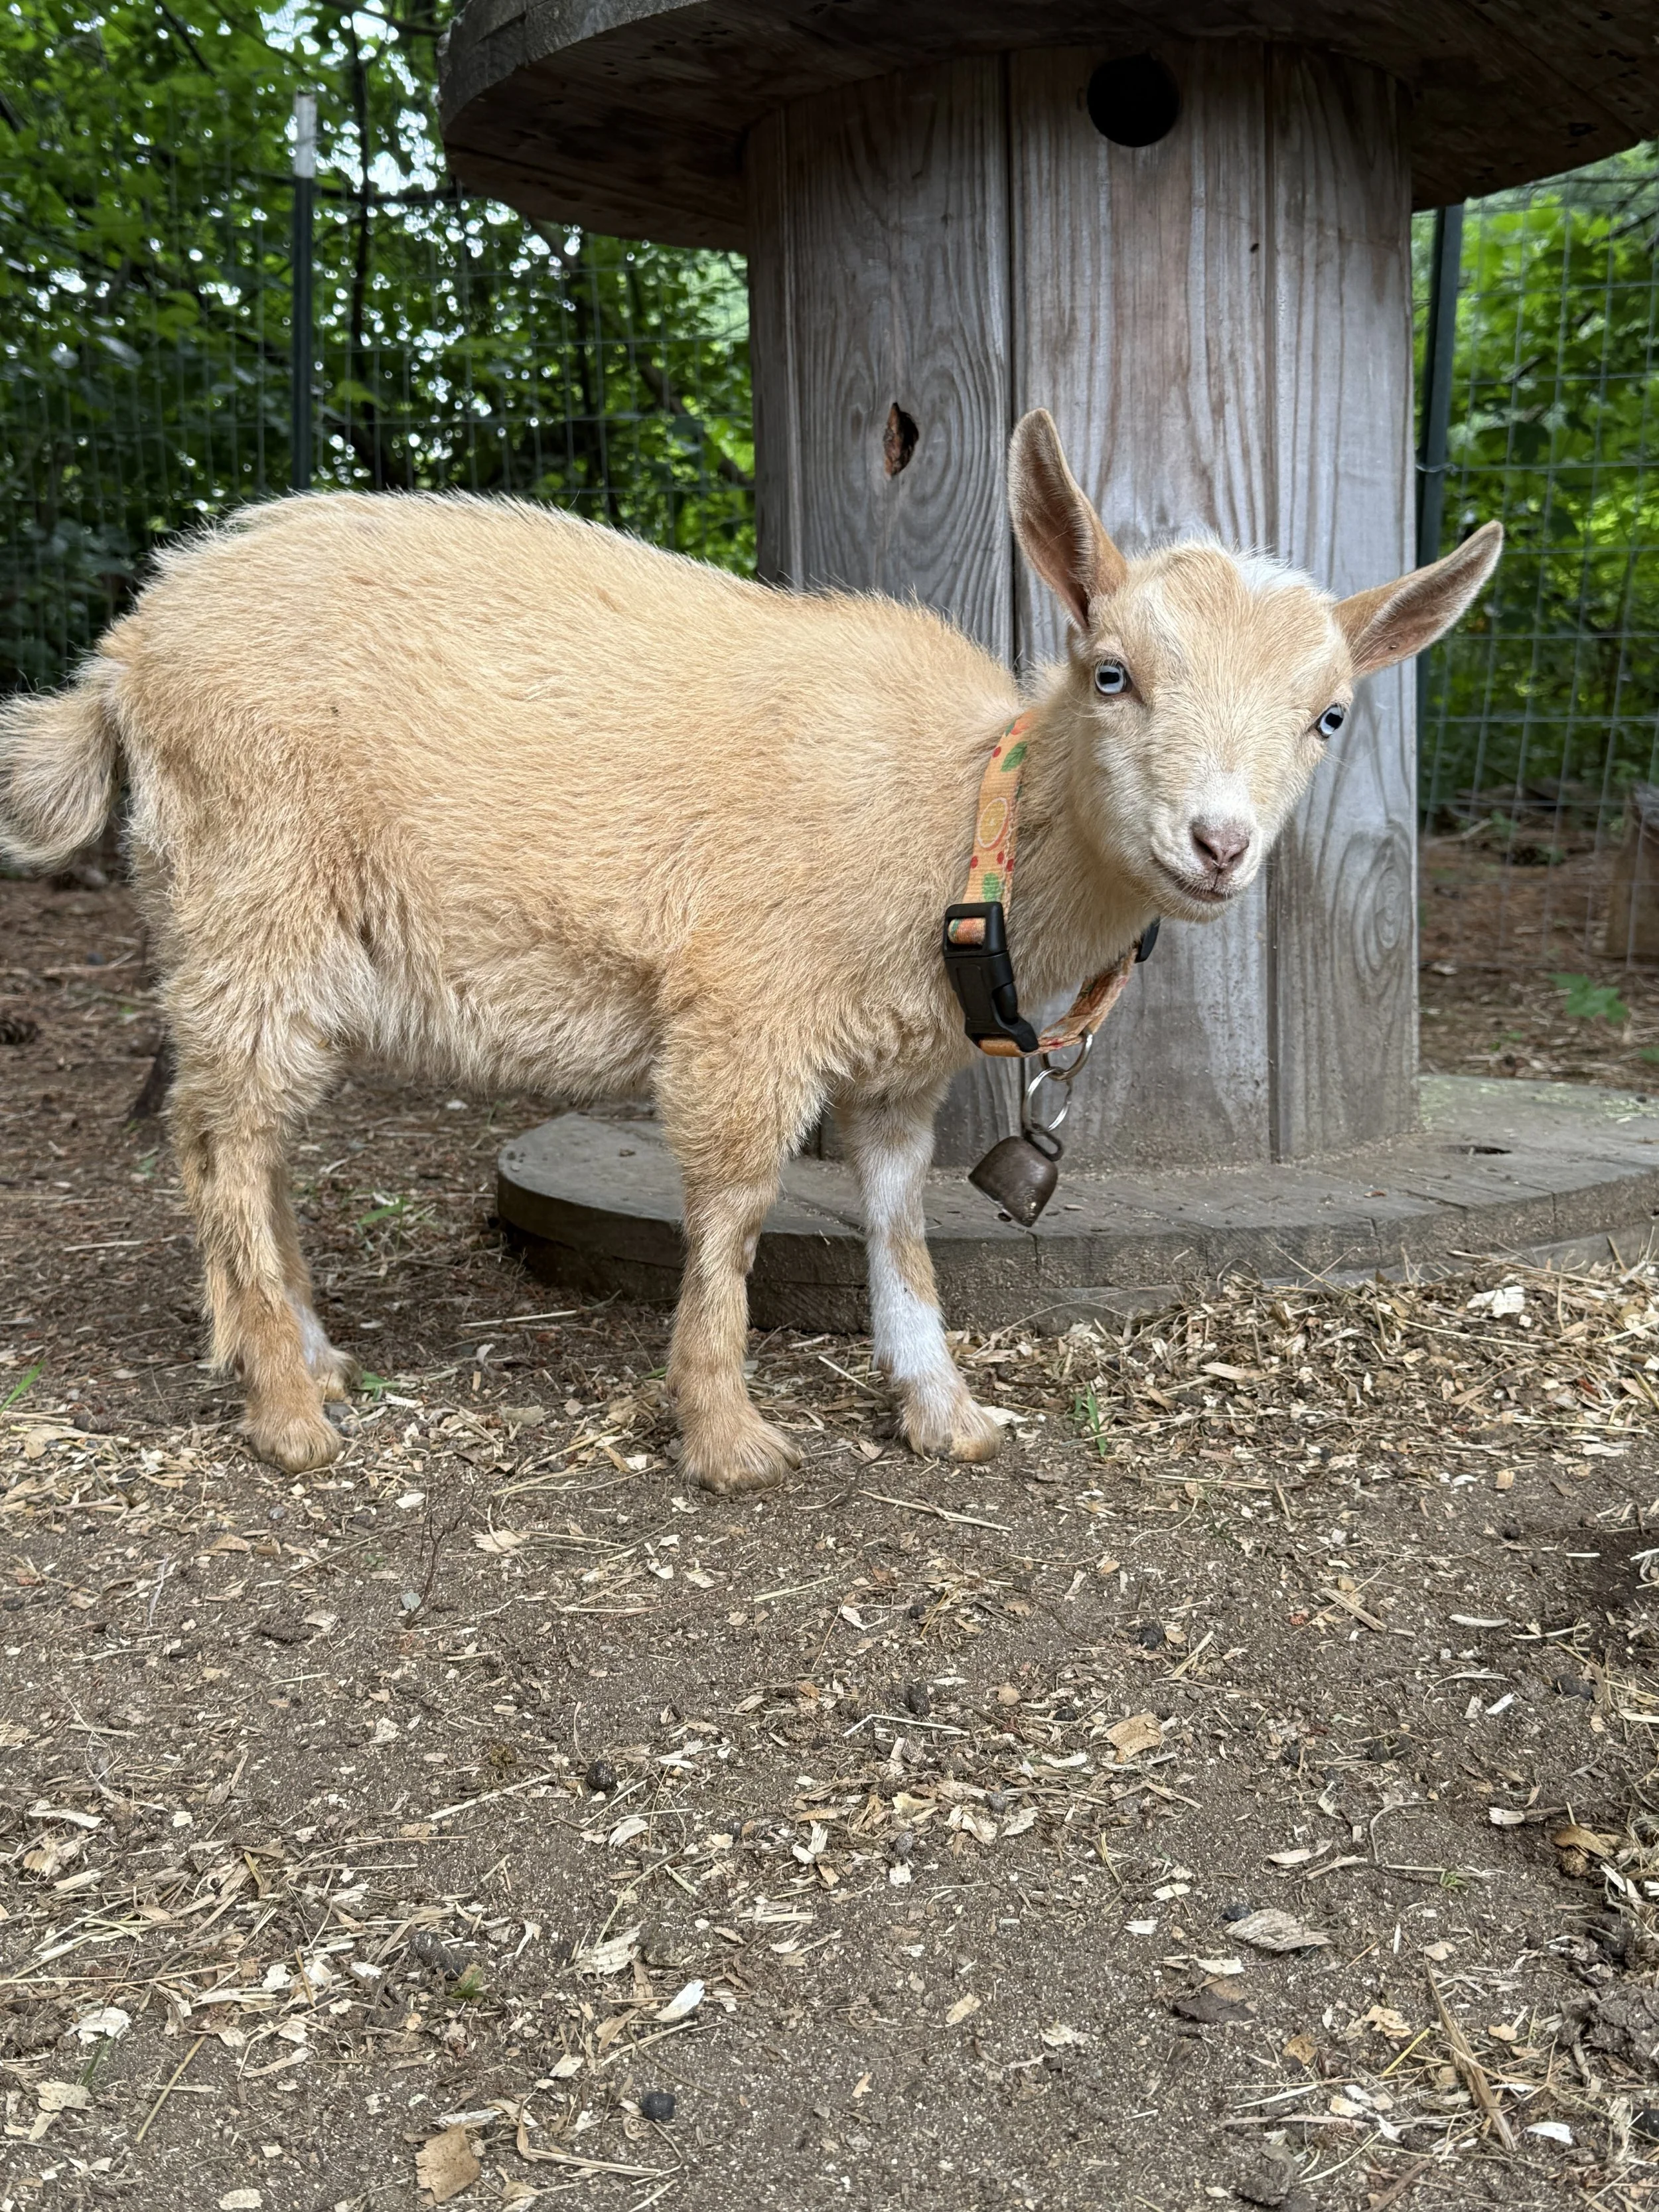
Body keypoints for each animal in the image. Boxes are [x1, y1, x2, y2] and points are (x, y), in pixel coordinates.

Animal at [0, 411, 1500, 1489]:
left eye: (1328, 717)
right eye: (1111, 670)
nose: (1216, 843)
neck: (959, 815)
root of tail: (130, 647)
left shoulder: (899, 1067)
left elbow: (900, 1226)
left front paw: (944, 1408)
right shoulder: (745, 1007)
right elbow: (731, 1212)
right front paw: (726, 1438)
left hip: (255, 926)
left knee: (242, 1133)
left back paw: (307, 1353)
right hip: (251, 891)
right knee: (223, 1138)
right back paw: (282, 1404)